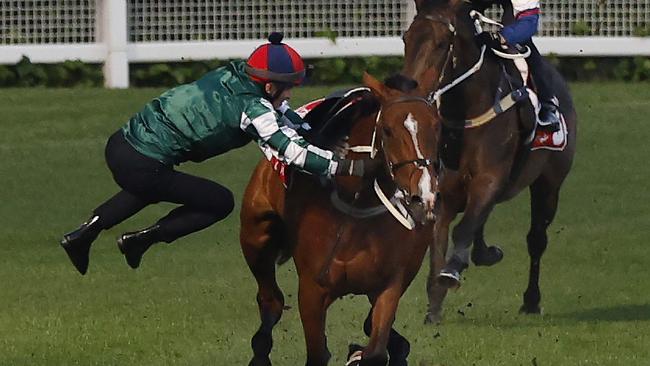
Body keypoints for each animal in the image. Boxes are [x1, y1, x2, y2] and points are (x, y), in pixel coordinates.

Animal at [238, 70, 440, 364]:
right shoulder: (312, 291)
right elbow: (317, 353)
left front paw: (359, 353)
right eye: (388, 130)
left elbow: (375, 348)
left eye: (437, 126)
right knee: (271, 300)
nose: (423, 196)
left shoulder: (390, 285)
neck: (357, 209)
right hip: (256, 237)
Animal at [400, 0, 576, 324]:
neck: (466, 115)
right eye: (406, 38)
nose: (408, 92)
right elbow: (440, 241)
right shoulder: (443, 191)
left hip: (549, 184)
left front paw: (452, 270)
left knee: (536, 239)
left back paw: (531, 300)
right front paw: (434, 308)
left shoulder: (490, 178)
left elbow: (463, 229)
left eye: (441, 43)